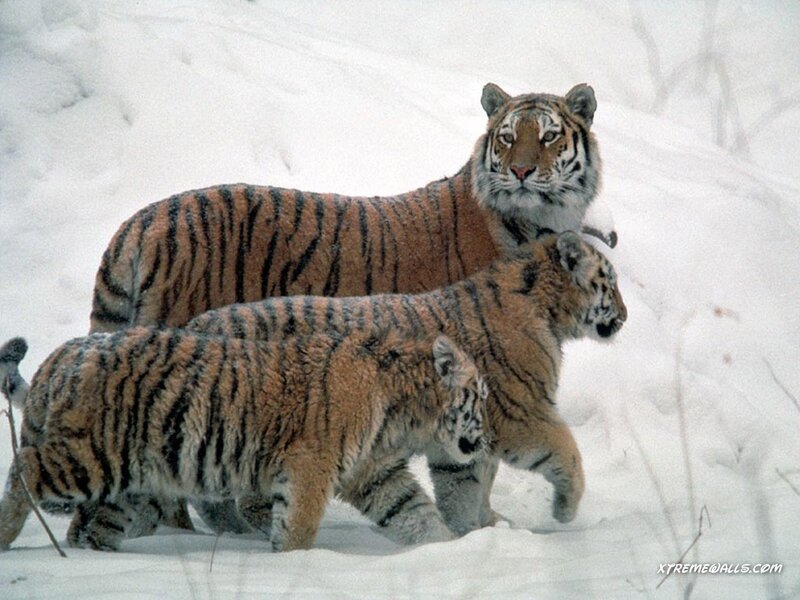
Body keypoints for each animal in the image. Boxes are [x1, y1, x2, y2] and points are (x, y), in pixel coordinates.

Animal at [0, 328, 488, 552]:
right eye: (480, 396)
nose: (485, 441)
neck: (403, 411)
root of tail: (63, 354)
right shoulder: (311, 467)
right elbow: (298, 525)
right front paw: (294, 562)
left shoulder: (376, 472)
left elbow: (415, 512)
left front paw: (449, 549)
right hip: (96, 456)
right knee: (25, 467)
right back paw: (6, 539)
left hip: (126, 486)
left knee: (89, 528)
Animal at [186, 231, 627, 536]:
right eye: (610, 281)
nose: (624, 316)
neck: (547, 312)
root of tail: (196, 322)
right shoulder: (520, 415)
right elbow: (566, 451)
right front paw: (563, 511)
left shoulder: (470, 435)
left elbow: (471, 484)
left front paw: (484, 526)